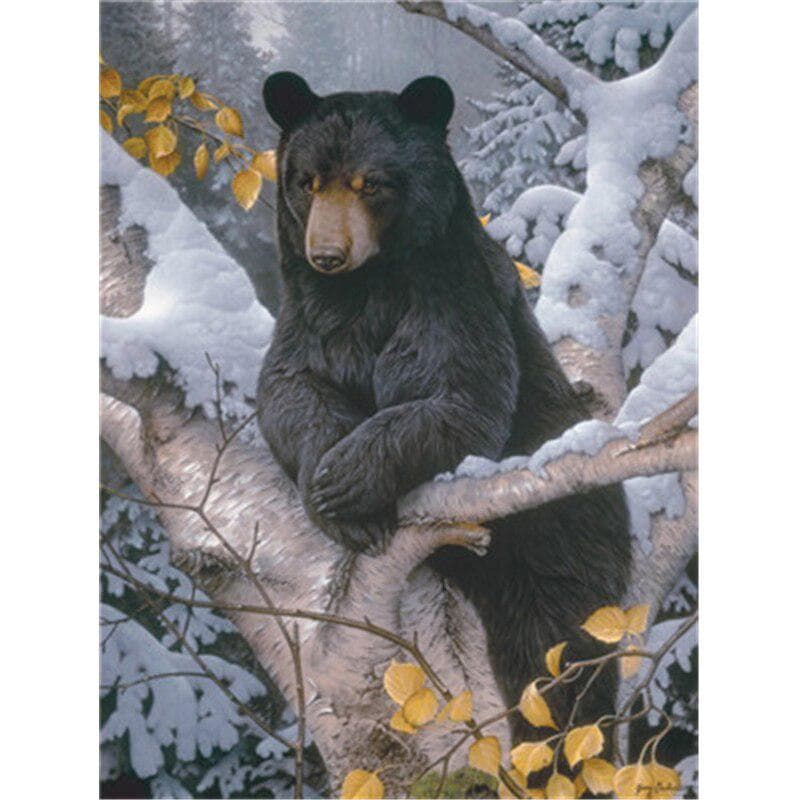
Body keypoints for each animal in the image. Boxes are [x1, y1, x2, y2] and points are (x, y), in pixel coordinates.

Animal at [256, 71, 632, 751]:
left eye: (370, 183)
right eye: (308, 181)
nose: (326, 252)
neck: (366, 286)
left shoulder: (452, 294)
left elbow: (461, 398)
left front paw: (348, 479)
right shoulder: (310, 315)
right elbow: (288, 389)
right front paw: (331, 488)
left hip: (562, 542)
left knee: (556, 660)